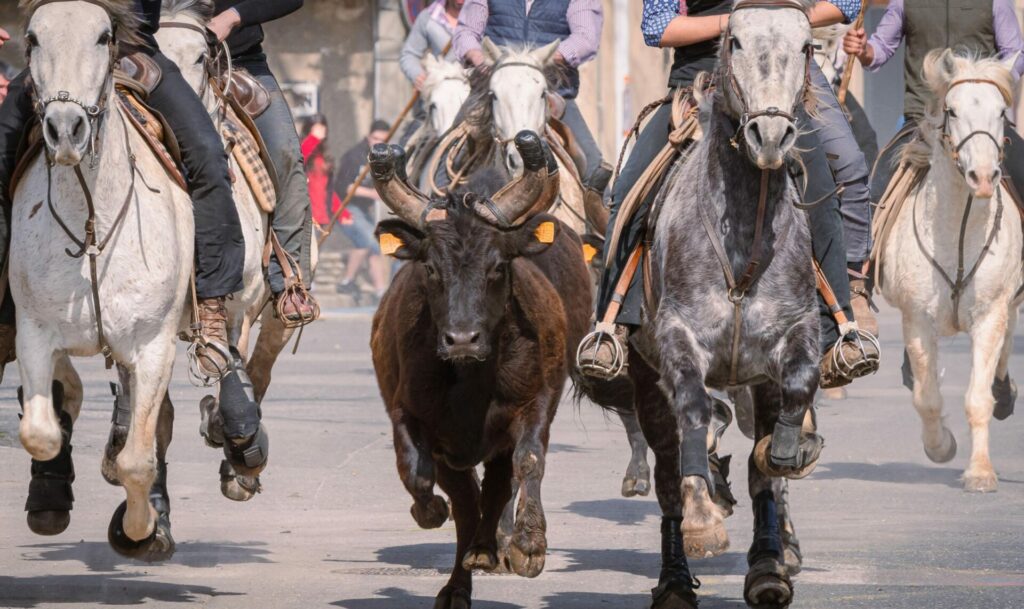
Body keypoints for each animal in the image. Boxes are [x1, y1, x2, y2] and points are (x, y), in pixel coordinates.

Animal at [14, 0, 190, 560]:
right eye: (32, 38)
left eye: (102, 37)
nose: (65, 130)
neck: (92, 221)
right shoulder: (33, 332)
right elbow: (41, 432)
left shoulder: (154, 343)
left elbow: (139, 459)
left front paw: (140, 530)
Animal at [880, 50, 1024, 493]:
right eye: (952, 110)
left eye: (1001, 112)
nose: (983, 177)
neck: (959, 230)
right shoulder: (918, 320)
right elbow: (927, 398)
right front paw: (941, 447)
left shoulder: (990, 314)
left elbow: (978, 398)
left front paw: (980, 473)